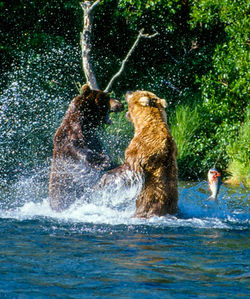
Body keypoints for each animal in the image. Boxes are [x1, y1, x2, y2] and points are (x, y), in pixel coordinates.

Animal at [48, 83, 123, 212]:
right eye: (107, 97)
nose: (120, 104)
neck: (86, 122)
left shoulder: (94, 138)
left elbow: (100, 148)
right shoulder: (70, 137)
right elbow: (80, 151)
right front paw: (103, 161)